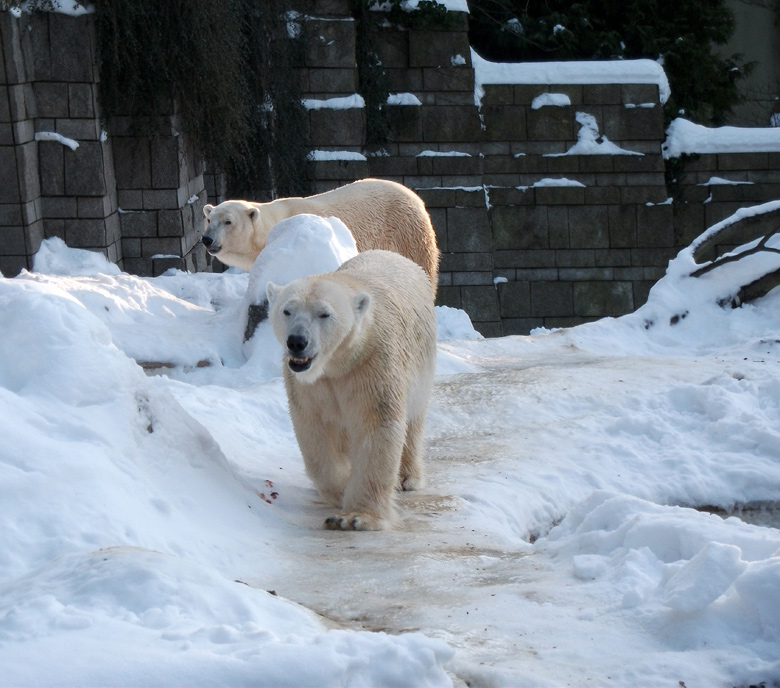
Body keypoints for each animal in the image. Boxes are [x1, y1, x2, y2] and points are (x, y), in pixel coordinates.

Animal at [266, 250, 438, 528]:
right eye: (287, 310)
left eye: (324, 314)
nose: (297, 341)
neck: (336, 362)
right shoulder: (308, 384)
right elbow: (313, 430)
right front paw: (341, 489)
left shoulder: (372, 364)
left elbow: (377, 424)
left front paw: (355, 517)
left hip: (422, 364)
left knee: (413, 421)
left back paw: (407, 478)